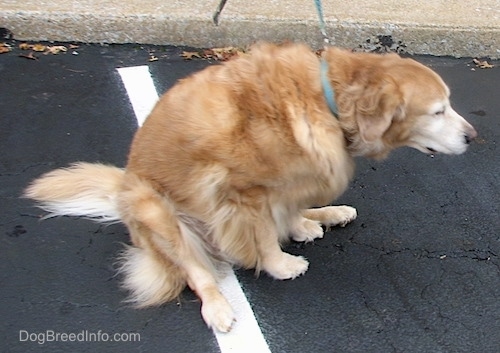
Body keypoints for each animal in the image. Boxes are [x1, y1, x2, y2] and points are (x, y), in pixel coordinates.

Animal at [24, 42, 476, 332]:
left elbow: (286, 211)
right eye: (438, 111)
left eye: (449, 104)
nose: (473, 137)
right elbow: (261, 238)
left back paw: (325, 216)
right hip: (154, 208)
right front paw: (280, 265)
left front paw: (304, 224)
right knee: (195, 271)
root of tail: (122, 189)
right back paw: (218, 307)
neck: (327, 100)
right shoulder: (243, 193)